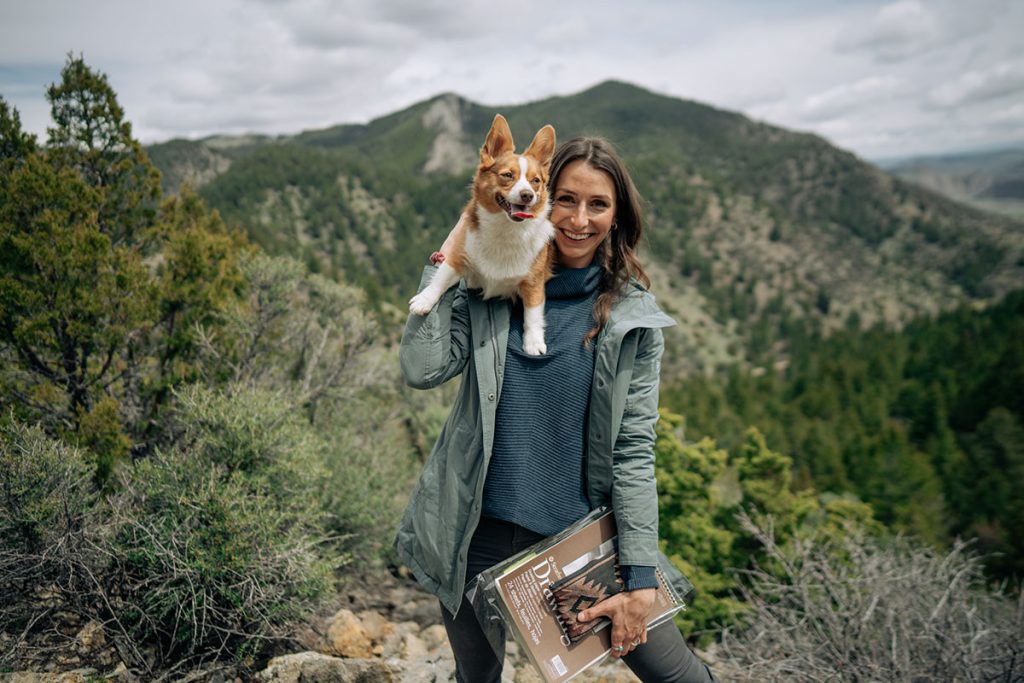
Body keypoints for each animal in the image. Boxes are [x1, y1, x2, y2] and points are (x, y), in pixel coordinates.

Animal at [407, 112, 557, 356]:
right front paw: (424, 299)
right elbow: (440, 279)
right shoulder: (457, 258)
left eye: (536, 181)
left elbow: (533, 315)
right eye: (508, 175)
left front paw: (533, 342)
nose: (528, 195)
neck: (505, 230)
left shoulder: (533, 283)